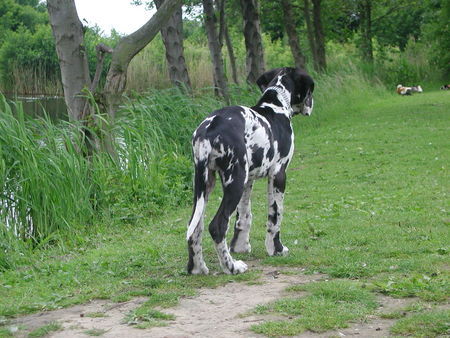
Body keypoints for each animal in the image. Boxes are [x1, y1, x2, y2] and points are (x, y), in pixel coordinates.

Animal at [185, 66, 312, 274]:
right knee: (217, 226)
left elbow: (244, 216)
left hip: (205, 184)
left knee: (195, 226)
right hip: (234, 182)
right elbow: (275, 215)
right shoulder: (278, 175)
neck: (276, 106)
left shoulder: (248, 180)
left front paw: (240, 247)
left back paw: (197, 268)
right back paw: (231, 267)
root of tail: (208, 130)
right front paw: (276, 249)